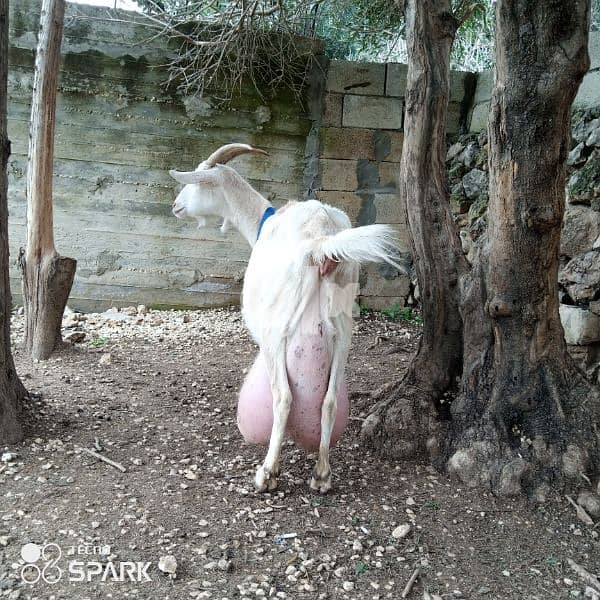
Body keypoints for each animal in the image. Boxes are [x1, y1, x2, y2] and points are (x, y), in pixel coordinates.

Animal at [169, 145, 400, 492]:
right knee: (329, 401)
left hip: (277, 332)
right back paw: (321, 475)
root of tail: (320, 241)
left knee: (283, 397)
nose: (176, 207)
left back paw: (267, 474)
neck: (261, 223)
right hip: (342, 334)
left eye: (197, 181)